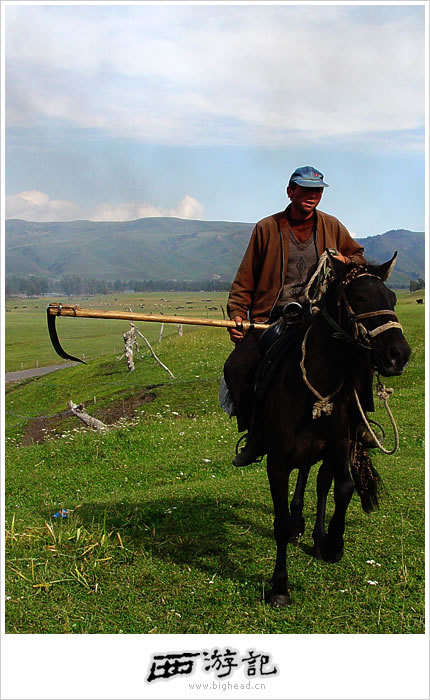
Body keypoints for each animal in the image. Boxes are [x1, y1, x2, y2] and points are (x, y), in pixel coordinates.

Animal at [256, 253, 412, 608]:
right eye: (359, 298)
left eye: (392, 298)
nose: (399, 355)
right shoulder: (277, 462)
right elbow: (280, 522)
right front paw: (279, 586)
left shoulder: (339, 446)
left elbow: (343, 488)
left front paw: (332, 544)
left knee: (321, 484)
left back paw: (315, 536)